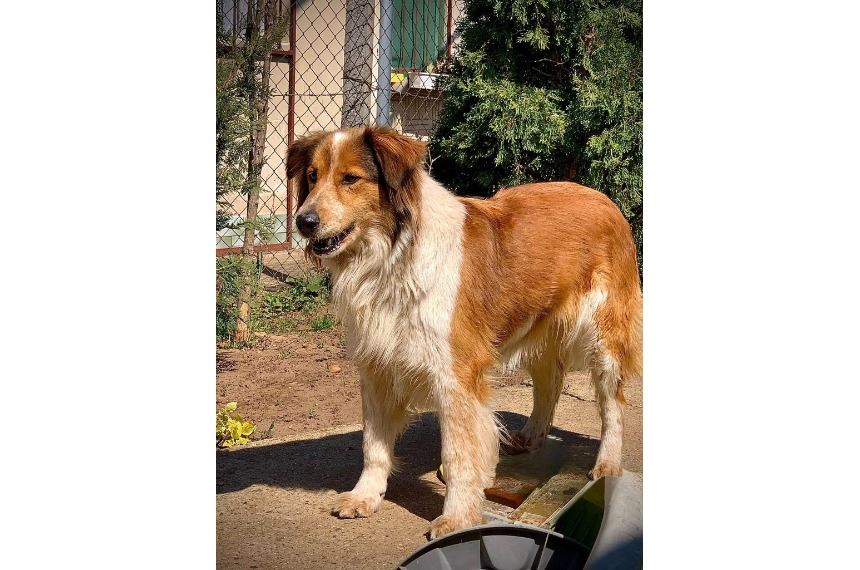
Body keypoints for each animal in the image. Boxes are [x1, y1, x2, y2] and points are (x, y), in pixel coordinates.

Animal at [287, 126, 642, 539]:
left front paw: (456, 517)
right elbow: (373, 445)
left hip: (604, 336)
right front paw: (365, 496)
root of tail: (603, 198)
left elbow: (457, 455)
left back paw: (608, 463)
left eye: (350, 179)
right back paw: (530, 436)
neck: (392, 257)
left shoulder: (454, 375)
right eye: (312, 177)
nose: (304, 221)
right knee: (550, 382)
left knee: (612, 404)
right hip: (542, 328)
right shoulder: (377, 367)